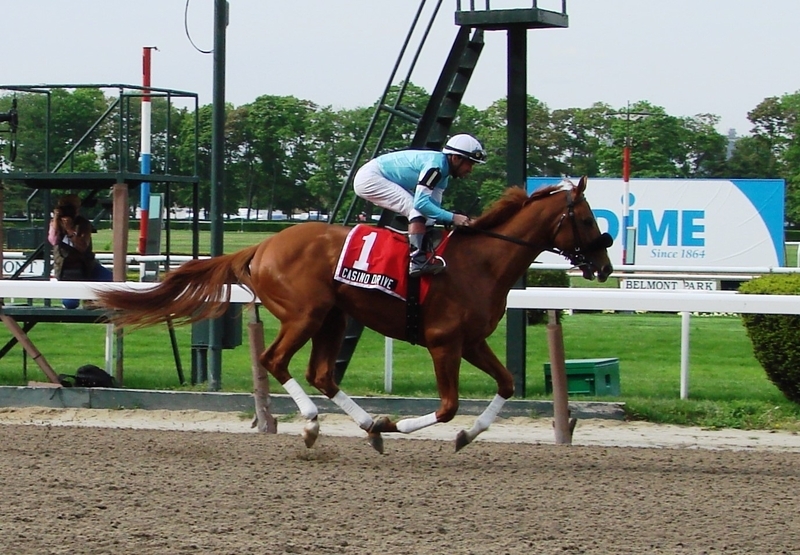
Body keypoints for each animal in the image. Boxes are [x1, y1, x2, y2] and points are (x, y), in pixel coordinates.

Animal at [97, 177, 616, 452]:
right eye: (587, 218)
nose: (605, 265)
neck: (481, 261)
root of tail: (262, 246)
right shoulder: (444, 342)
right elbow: (447, 405)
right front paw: (397, 425)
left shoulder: (471, 340)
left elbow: (506, 385)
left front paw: (467, 435)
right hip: (305, 314)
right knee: (275, 361)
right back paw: (315, 424)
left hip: (335, 317)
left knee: (321, 373)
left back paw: (366, 426)